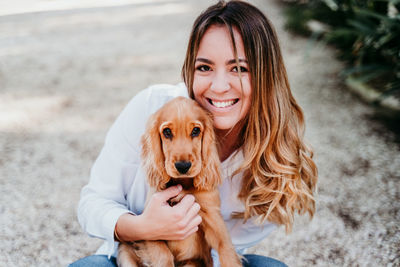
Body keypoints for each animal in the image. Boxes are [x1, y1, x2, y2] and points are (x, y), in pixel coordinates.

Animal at [116, 97, 241, 267]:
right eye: (167, 132)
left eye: (196, 131)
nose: (183, 166)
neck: (184, 185)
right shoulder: (151, 225)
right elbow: (163, 255)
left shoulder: (212, 215)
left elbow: (226, 249)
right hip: (125, 250)